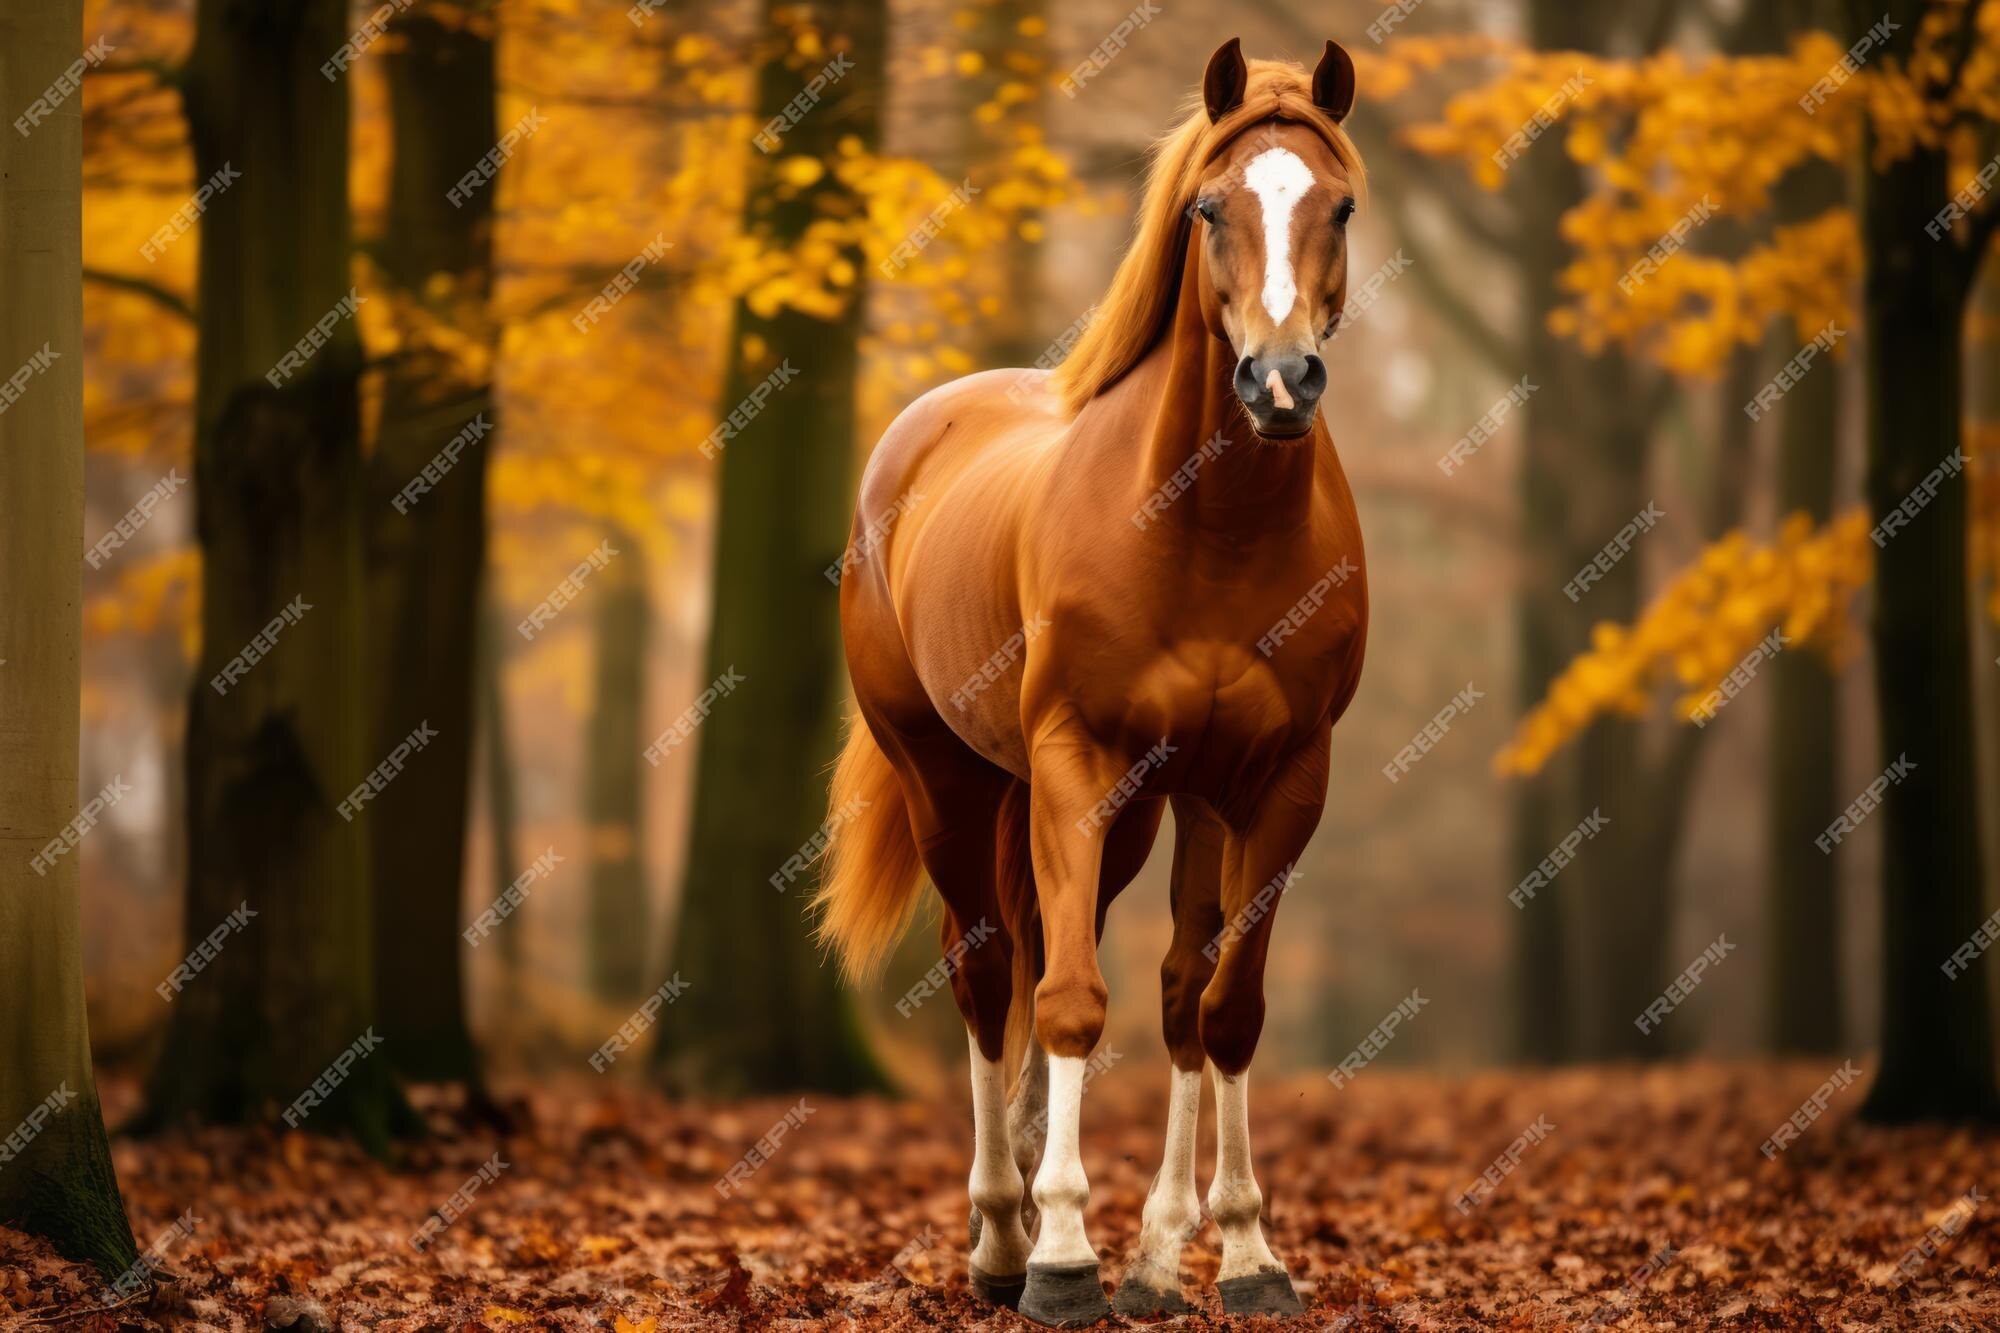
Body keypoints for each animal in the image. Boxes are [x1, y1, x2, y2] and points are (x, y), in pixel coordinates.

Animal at [808, 39, 1360, 1320]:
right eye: (1208, 208)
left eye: (1340, 205)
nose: (1278, 384)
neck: (1211, 531)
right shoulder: (1074, 759)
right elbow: (1066, 1000)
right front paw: (1062, 1255)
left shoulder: (1277, 783)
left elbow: (1221, 1007)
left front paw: (1241, 1254)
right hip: (954, 781)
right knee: (985, 969)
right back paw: (1002, 1237)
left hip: (1147, 813)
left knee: (1143, 981)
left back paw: (1132, 1249)